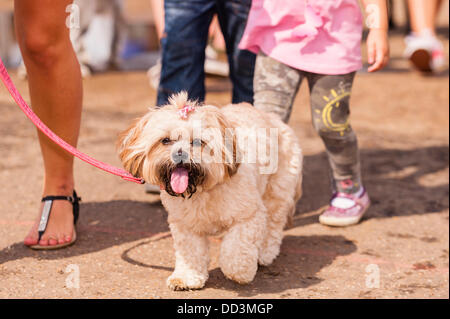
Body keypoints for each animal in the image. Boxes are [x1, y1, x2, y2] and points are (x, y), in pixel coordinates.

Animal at [118, 93, 304, 292]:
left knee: (273, 226)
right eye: (165, 140)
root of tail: (275, 120)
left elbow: (236, 249)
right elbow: (190, 253)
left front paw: (238, 272)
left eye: (197, 142)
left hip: (276, 192)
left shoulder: (248, 217)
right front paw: (186, 277)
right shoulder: (185, 226)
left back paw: (265, 253)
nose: (179, 153)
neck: (201, 190)